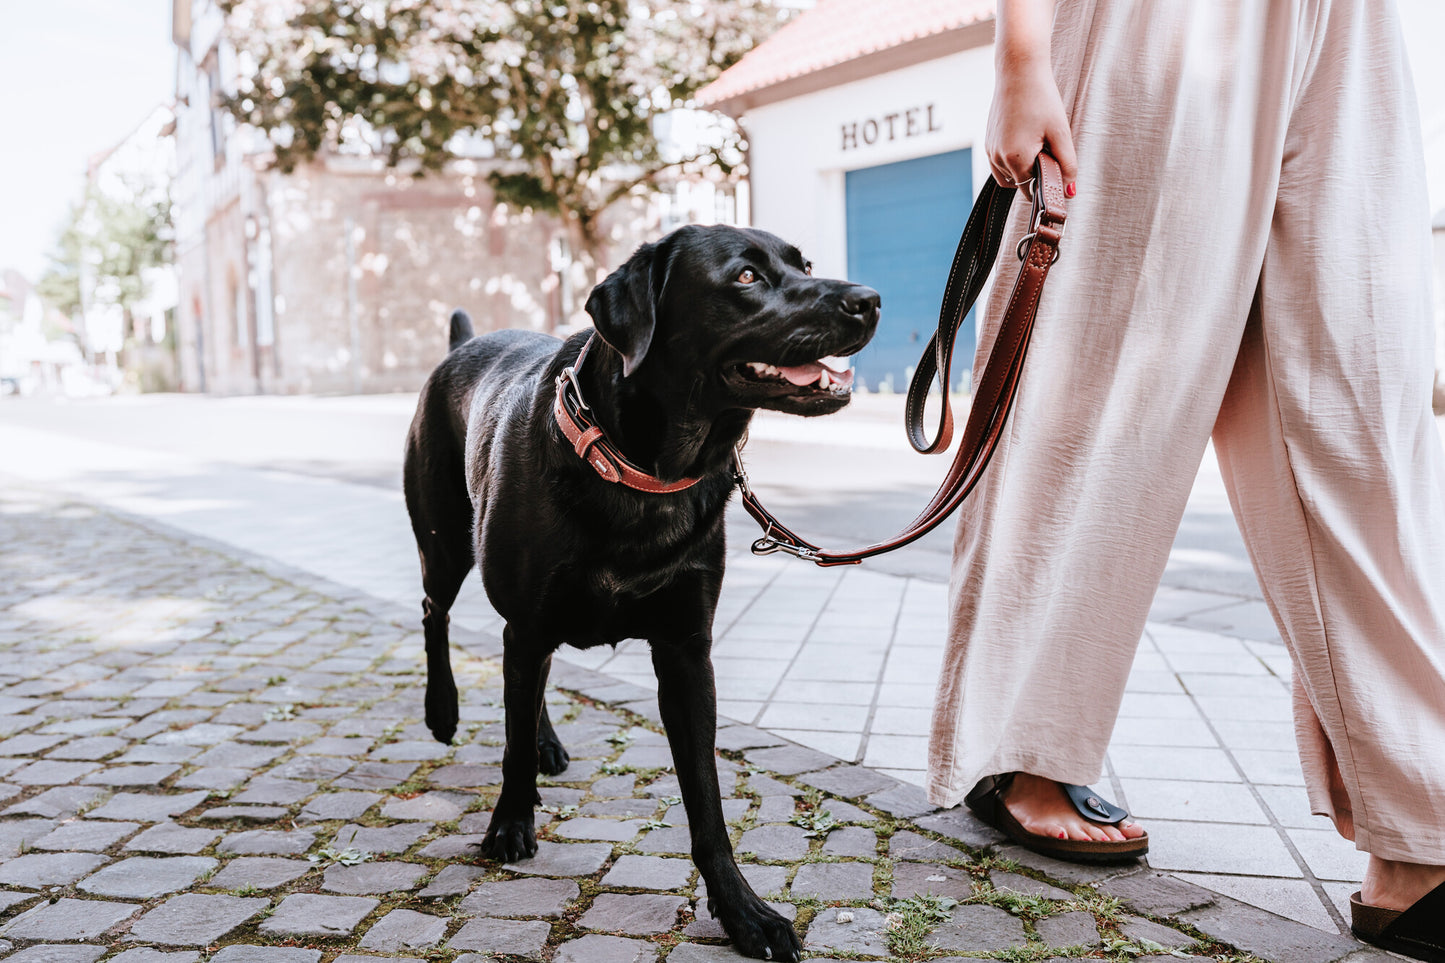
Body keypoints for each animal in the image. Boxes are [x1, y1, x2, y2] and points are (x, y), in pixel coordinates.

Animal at [407, 222, 878, 954]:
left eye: (804, 263)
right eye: (746, 276)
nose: (869, 299)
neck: (643, 472)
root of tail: (463, 343)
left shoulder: (685, 652)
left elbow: (706, 803)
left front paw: (743, 911)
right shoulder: (532, 619)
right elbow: (509, 744)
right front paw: (509, 824)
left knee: (528, 678)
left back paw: (544, 741)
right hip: (445, 544)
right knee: (437, 615)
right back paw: (444, 710)